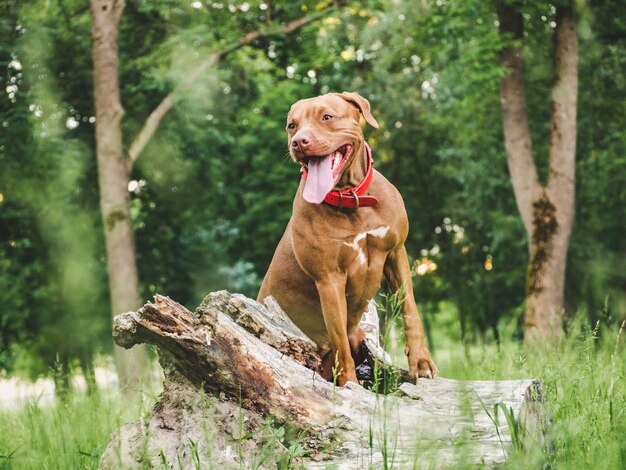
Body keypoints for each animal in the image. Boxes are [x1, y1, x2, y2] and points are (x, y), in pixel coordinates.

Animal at [256, 92, 436, 386]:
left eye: (326, 117)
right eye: (292, 126)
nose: (299, 142)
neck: (351, 198)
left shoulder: (396, 252)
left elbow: (409, 308)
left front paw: (421, 363)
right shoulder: (328, 278)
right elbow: (339, 336)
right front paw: (349, 386)